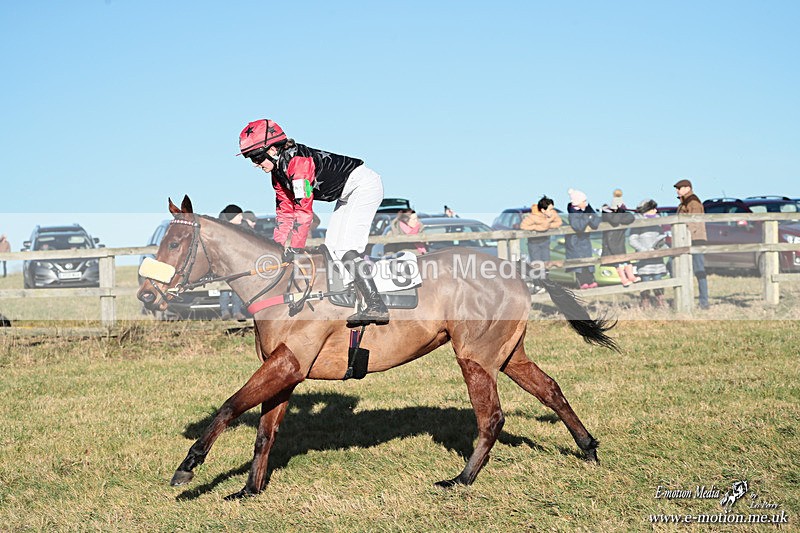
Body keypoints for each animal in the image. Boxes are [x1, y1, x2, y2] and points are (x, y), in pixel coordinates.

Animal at [137, 196, 618, 499]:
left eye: (175, 243)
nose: (145, 294)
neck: (283, 287)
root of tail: (517, 268)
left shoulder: (288, 364)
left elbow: (230, 406)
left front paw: (189, 466)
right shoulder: (284, 372)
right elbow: (264, 433)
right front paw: (249, 489)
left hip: (475, 357)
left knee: (492, 417)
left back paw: (461, 479)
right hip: (506, 354)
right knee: (549, 388)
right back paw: (588, 448)